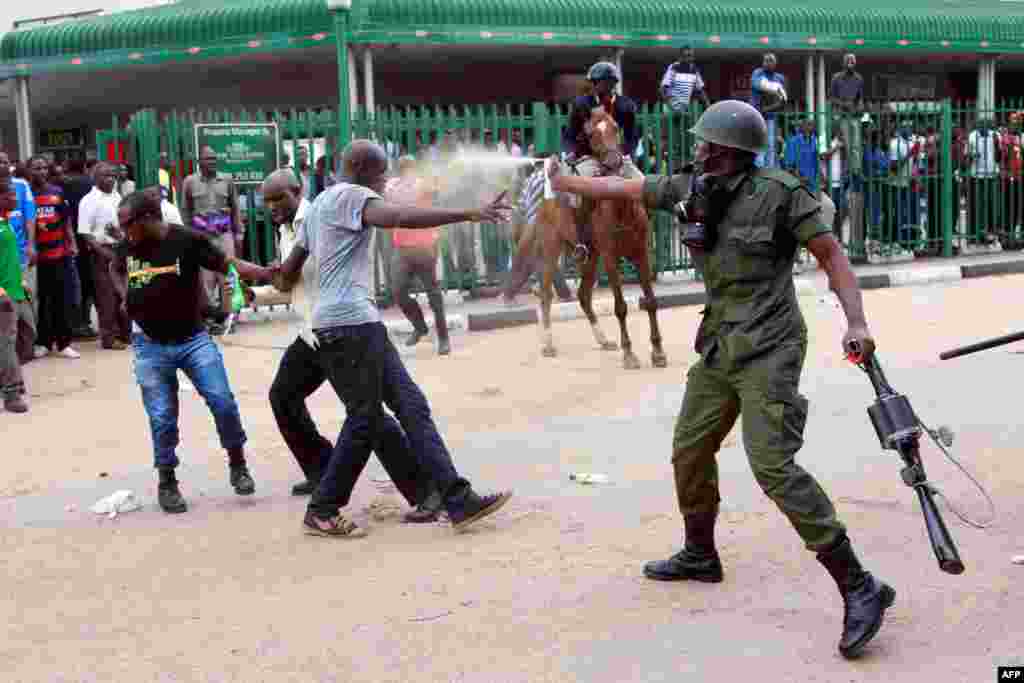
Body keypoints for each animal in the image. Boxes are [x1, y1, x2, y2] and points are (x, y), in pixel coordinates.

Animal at [532, 109, 667, 370]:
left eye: (616, 127)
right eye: (592, 133)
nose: (614, 161)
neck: (621, 207)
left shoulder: (641, 253)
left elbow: (651, 301)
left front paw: (657, 352)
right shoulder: (611, 258)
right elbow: (621, 306)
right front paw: (629, 354)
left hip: (592, 256)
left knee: (584, 295)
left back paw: (603, 339)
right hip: (552, 248)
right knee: (545, 293)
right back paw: (548, 343)